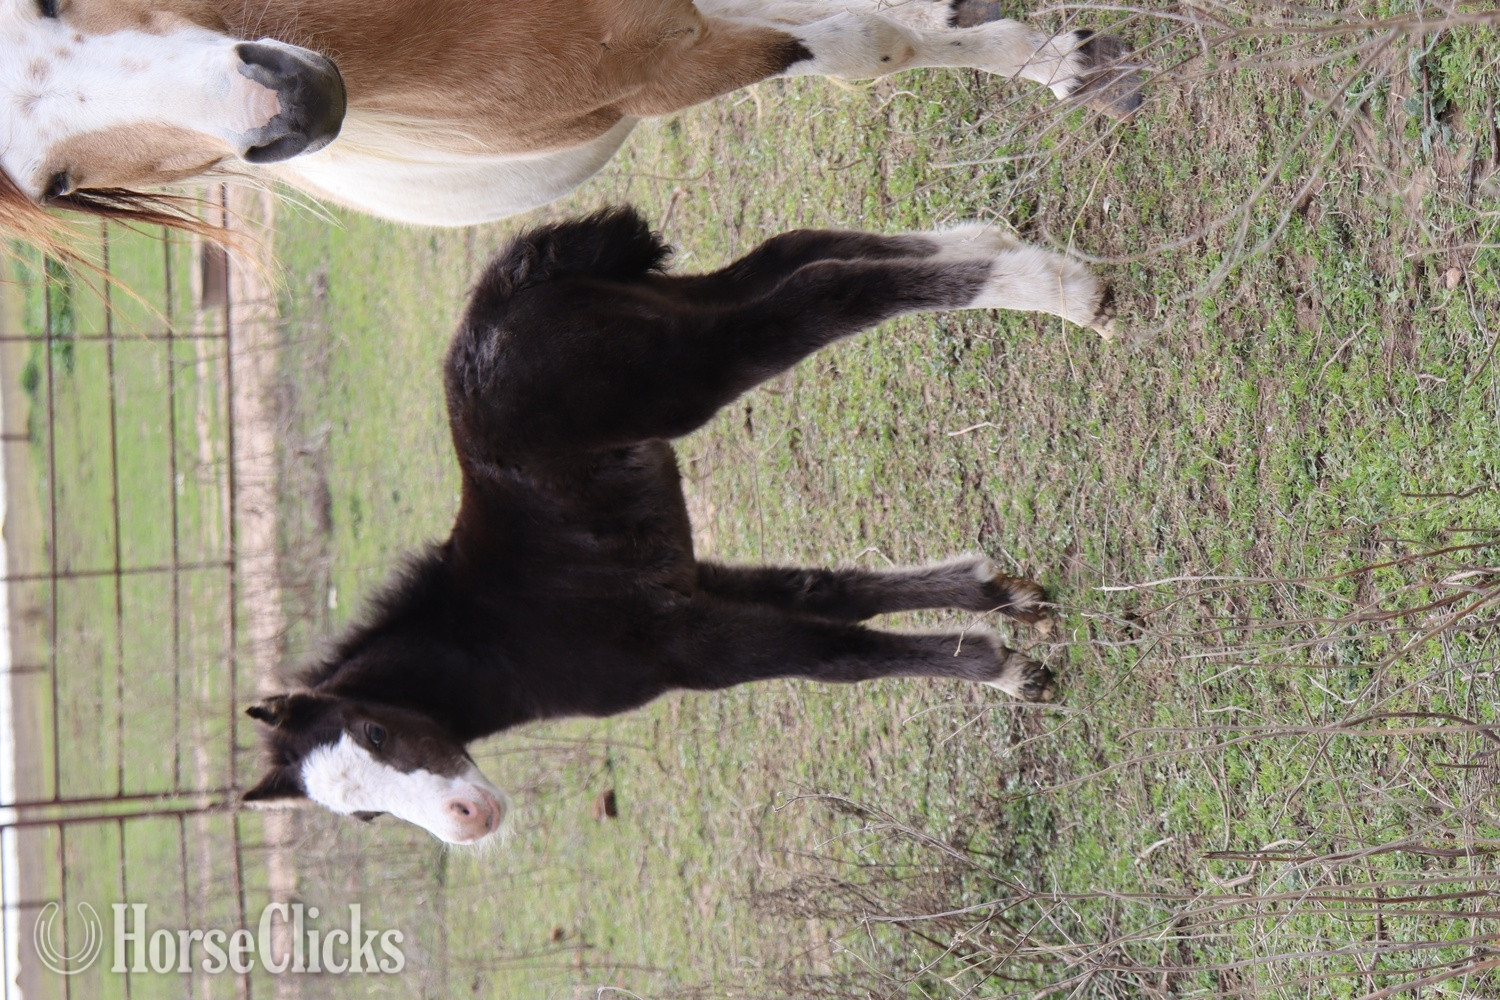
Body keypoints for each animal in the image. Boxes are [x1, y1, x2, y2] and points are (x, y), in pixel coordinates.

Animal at [240, 205, 1112, 844]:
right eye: (366, 814)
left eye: (376, 734)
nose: (469, 821)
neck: (496, 639)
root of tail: (502, 297)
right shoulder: (692, 581)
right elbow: (834, 593)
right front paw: (1002, 600)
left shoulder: (683, 651)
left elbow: (835, 657)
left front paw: (1006, 673)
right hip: (672, 311)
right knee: (800, 251)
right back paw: (997, 244)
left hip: (683, 371)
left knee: (825, 294)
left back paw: (1061, 290)